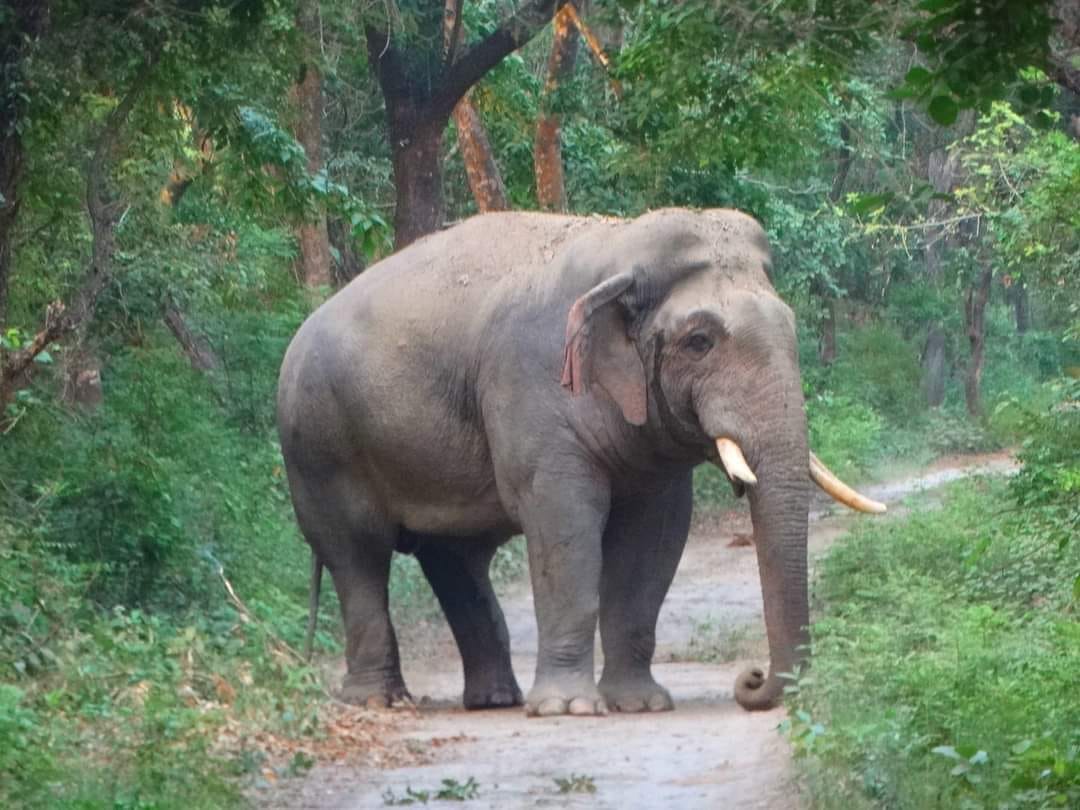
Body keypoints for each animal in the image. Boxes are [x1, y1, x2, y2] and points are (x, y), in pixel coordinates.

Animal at [276, 208, 884, 717]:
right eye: (699, 341)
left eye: (791, 328)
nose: (751, 681)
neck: (621, 249)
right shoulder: (533, 388)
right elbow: (563, 521)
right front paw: (568, 709)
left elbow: (654, 535)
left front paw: (640, 704)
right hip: (319, 445)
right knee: (358, 554)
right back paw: (378, 701)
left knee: (453, 559)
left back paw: (494, 700)